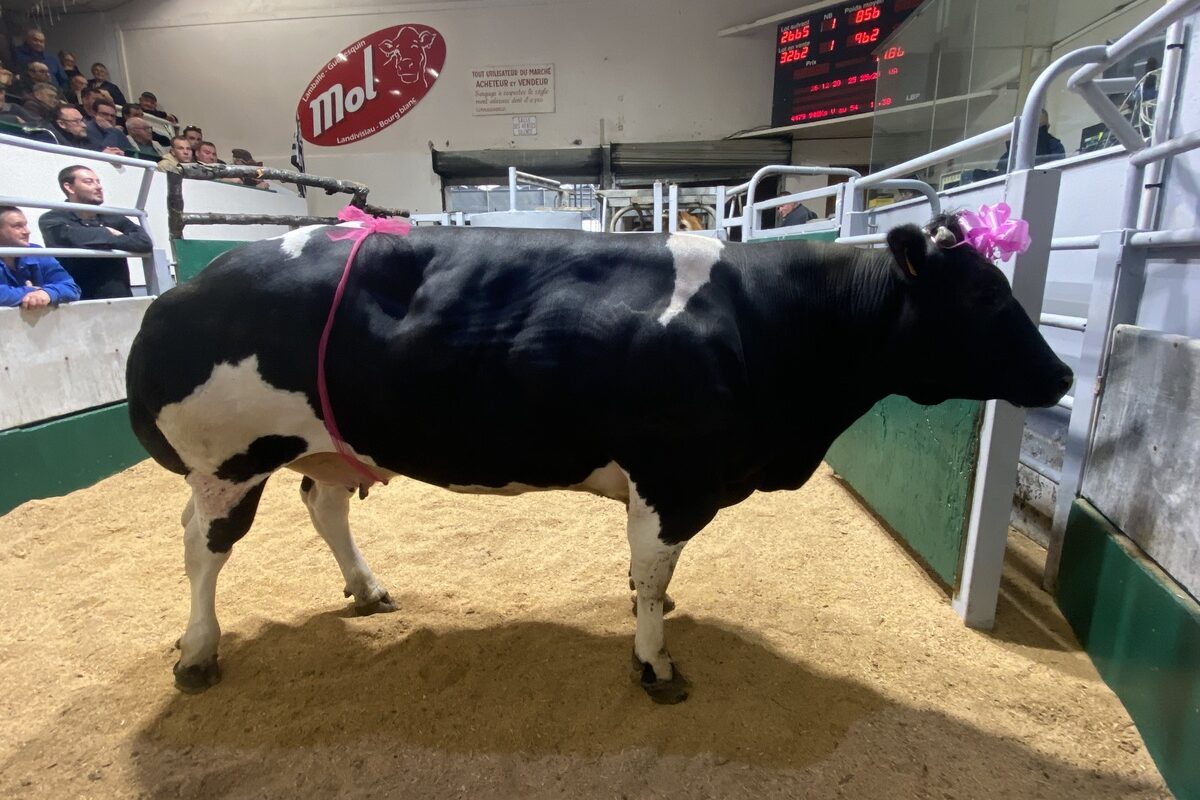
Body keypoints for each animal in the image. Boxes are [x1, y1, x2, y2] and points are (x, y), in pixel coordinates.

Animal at [125, 215, 1073, 703]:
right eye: (984, 296)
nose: (1063, 373)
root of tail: (188, 285)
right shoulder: (675, 475)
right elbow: (653, 576)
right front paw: (655, 663)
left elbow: (650, 574)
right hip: (229, 459)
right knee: (202, 548)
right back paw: (198, 651)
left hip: (326, 444)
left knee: (320, 506)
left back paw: (366, 587)